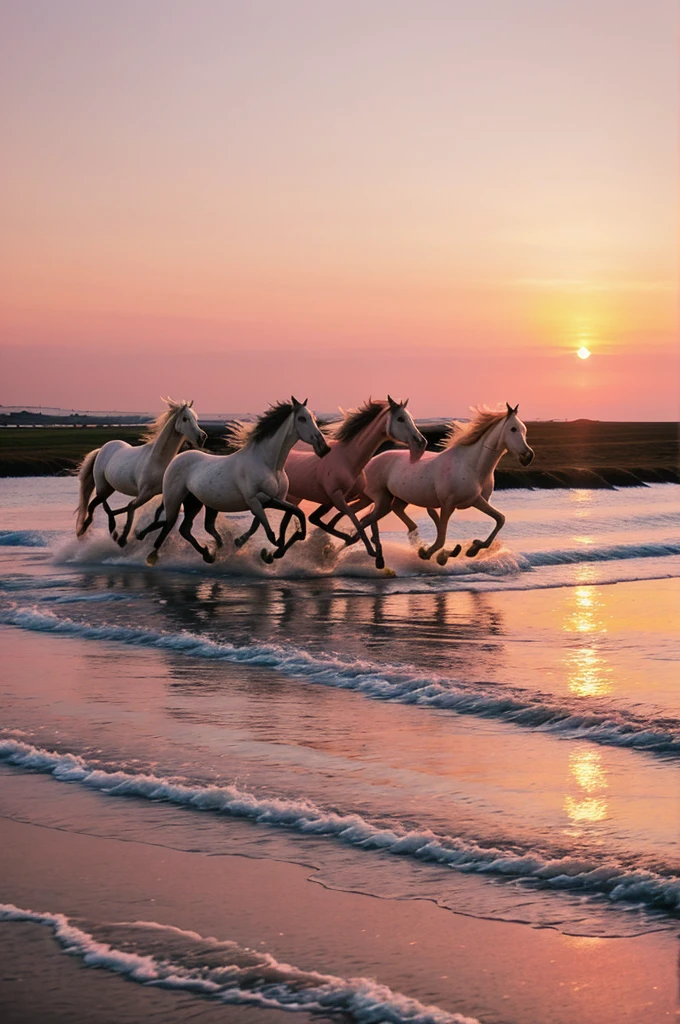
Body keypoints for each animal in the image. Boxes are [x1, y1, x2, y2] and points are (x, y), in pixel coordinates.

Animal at [74, 395, 205, 548]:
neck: (157, 461)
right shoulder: (145, 493)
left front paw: (138, 534)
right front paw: (123, 539)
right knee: (96, 504)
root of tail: (102, 448)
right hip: (102, 485)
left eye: (196, 418)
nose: (202, 437)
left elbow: (159, 516)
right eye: (185, 418)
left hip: (109, 487)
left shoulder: (164, 493)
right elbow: (131, 507)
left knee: (101, 504)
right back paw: (91, 529)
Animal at [139, 395, 329, 565]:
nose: (324, 447)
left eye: (314, 418)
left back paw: (209, 554)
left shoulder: (276, 499)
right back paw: (152, 555)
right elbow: (268, 528)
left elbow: (290, 514)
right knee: (168, 525)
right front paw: (272, 546)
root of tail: (176, 459)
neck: (269, 465)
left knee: (185, 529)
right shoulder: (256, 499)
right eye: (302, 418)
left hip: (195, 502)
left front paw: (274, 549)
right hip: (174, 499)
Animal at [274, 395, 426, 569]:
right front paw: (371, 551)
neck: (349, 460)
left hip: (294, 498)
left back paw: (278, 551)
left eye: (411, 418)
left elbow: (351, 519)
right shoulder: (337, 497)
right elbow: (355, 519)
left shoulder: (348, 498)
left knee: (295, 518)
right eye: (401, 419)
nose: (421, 442)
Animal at [352, 401, 532, 569]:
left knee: (390, 511)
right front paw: (431, 554)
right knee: (369, 517)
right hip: (381, 498)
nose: (528, 456)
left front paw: (473, 548)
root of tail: (370, 462)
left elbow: (500, 519)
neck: (471, 465)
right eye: (513, 429)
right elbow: (441, 538)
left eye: (524, 430)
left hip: (395, 498)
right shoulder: (447, 505)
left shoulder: (476, 500)